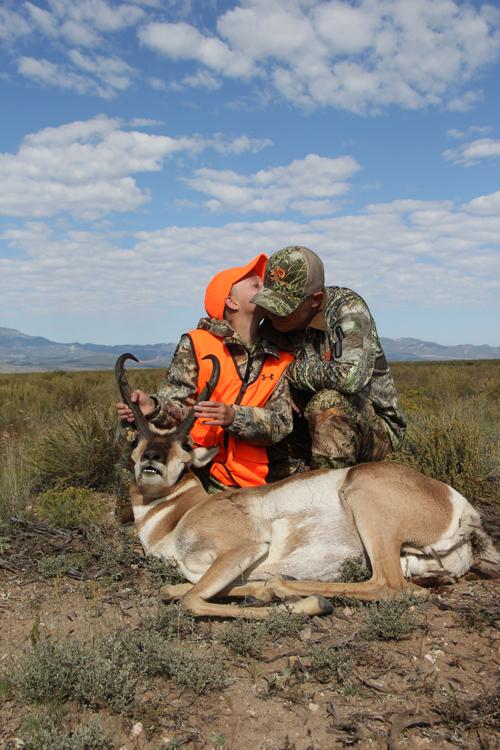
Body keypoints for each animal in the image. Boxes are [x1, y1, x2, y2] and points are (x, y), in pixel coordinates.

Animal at [116, 354, 499, 619]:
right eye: (137, 440)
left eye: (184, 446)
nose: (152, 459)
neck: (181, 514)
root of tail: (460, 506)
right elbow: (172, 588)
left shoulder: (243, 549)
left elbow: (191, 599)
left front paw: (299, 602)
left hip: (364, 502)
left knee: (388, 585)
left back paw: (286, 588)